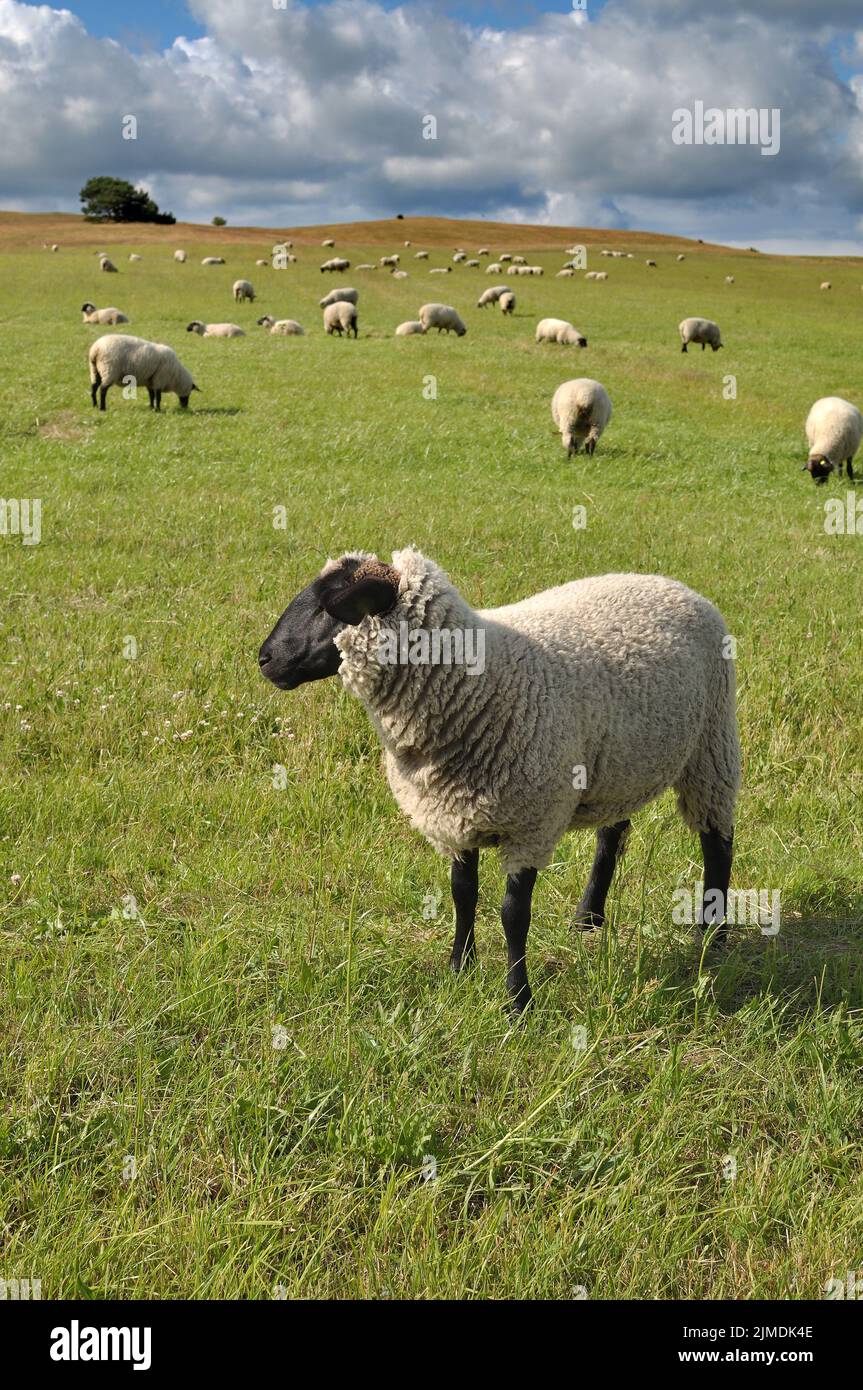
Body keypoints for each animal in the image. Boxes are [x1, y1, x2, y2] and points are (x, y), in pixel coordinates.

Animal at [258, 547, 740, 1013]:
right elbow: (462, 893)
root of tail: (673, 584)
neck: (478, 684)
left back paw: (711, 936)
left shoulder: (530, 824)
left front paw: (517, 1001)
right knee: (612, 835)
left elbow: (513, 915)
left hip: (712, 746)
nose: (264, 658)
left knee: (717, 842)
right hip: (621, 766)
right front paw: (460, 967)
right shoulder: (452, 813)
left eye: (330, 606)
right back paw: (588, 918)